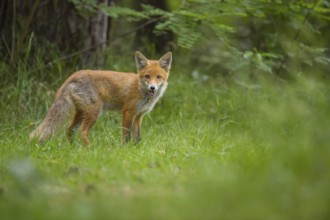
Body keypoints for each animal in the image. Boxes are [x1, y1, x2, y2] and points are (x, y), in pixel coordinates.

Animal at [29, 51, 173, 144]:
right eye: (147, 76)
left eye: (158, 77)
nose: (152, 88)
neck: (141, 89)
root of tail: (73, 76)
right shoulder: (128, 112)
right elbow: (126, 136)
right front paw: (125, 149)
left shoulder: (138, 116)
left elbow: (137, 137)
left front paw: (137, 149)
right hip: (94, 112)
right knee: (82, 132)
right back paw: (89, 149)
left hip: (82, 113)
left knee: (69, 129)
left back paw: (73, 147)